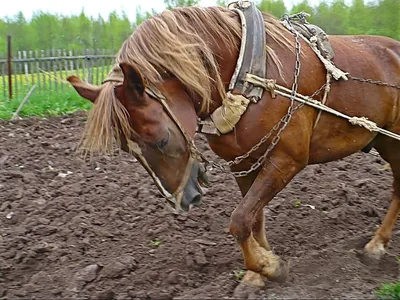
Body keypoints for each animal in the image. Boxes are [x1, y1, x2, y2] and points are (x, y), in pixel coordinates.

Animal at [66, 3, 400, 292]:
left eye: (160, 139)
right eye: (127, 150)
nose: (183, 202)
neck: (249, 77)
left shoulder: (286, 160)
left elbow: (239, 220)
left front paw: (269, 267)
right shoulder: (243, 163)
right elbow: (254, 218)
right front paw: (257, 272)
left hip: (393, 143)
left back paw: (376, 246)